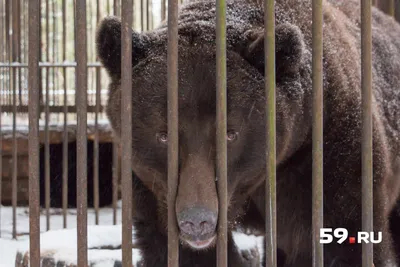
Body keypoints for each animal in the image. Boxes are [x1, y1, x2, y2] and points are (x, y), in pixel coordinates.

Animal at [97, 0, 400, 266]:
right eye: (164, 134)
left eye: (231, 133)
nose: (196, 220)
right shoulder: (153, 188)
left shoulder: (324, 153)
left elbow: (338, 239)